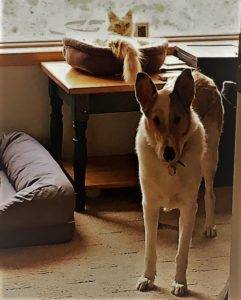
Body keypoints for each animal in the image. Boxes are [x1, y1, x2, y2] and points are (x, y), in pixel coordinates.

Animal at [135, 69, 223, 296]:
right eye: (156, 120)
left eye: (177, 119)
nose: (168, 153)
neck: (170, 167)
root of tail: (197, 73)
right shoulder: (149, 206)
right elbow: (150, 248)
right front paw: (147, 278)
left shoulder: (187, 204)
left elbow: (181, 254)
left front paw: (180, 282)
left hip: (210, 157)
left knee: (210, 194)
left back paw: (209, 226)